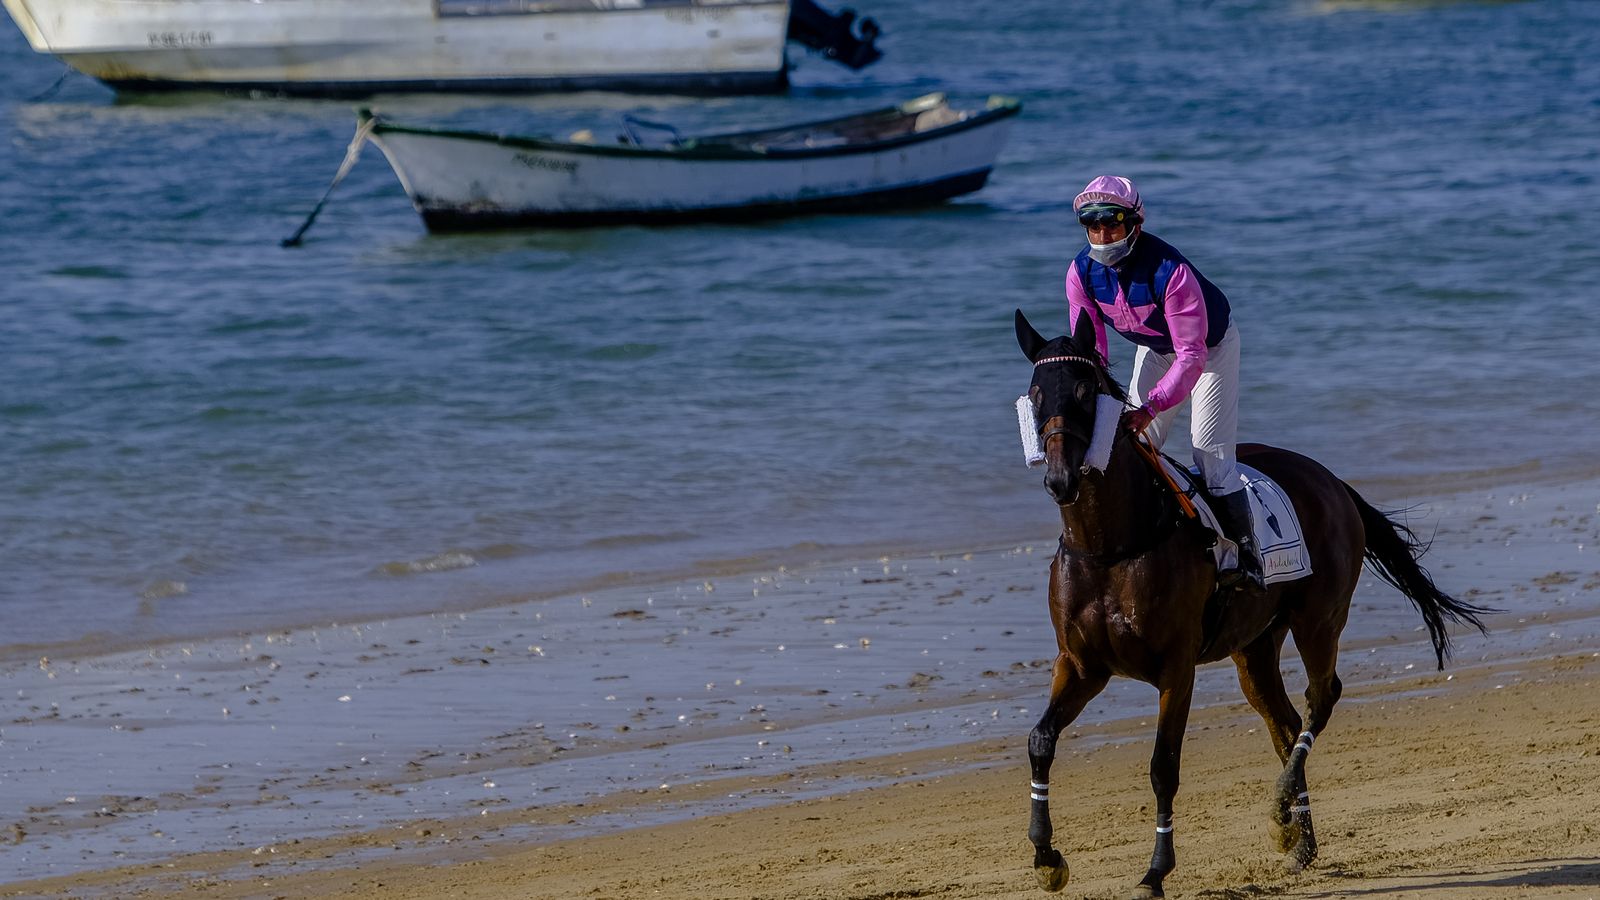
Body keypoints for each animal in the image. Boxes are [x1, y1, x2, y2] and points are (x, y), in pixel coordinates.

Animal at [1013, 308, 1491, 899]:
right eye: (1036, 393)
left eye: (1083, 390)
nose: (1059, 479)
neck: (1112, 545)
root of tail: (1333, 482)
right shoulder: (1082, 665)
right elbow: (1040, 741)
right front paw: (1046, 856)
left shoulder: (1176, 670)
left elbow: (1163, 767)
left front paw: (1155, 871)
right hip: (1255, 648)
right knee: (1284, 721)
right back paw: (1297, 835)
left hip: (1319, 620)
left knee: (1321, 697)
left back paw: (1284, 801)